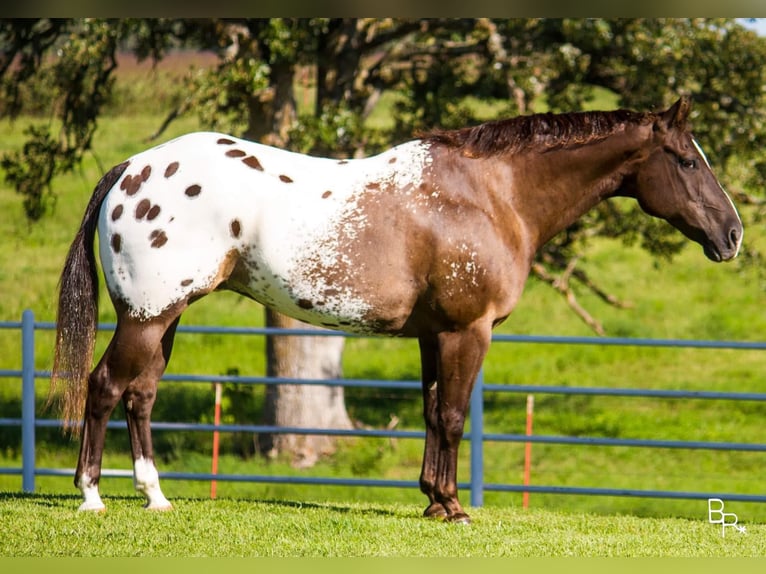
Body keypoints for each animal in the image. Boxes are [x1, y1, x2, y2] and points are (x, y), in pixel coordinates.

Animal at [49, 97, 744, 524]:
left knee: (141, 395)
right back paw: (91, 497)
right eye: (688, 161)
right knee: (105, 387)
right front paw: (455, 508)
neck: (491, 195)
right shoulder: (468, 332)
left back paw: (155, 496)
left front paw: (434, 501)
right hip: (146, 317)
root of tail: (131, 170)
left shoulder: (434, 335)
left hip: (164, 317)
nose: (733, 235)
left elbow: (434, 414)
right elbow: (455, 416)